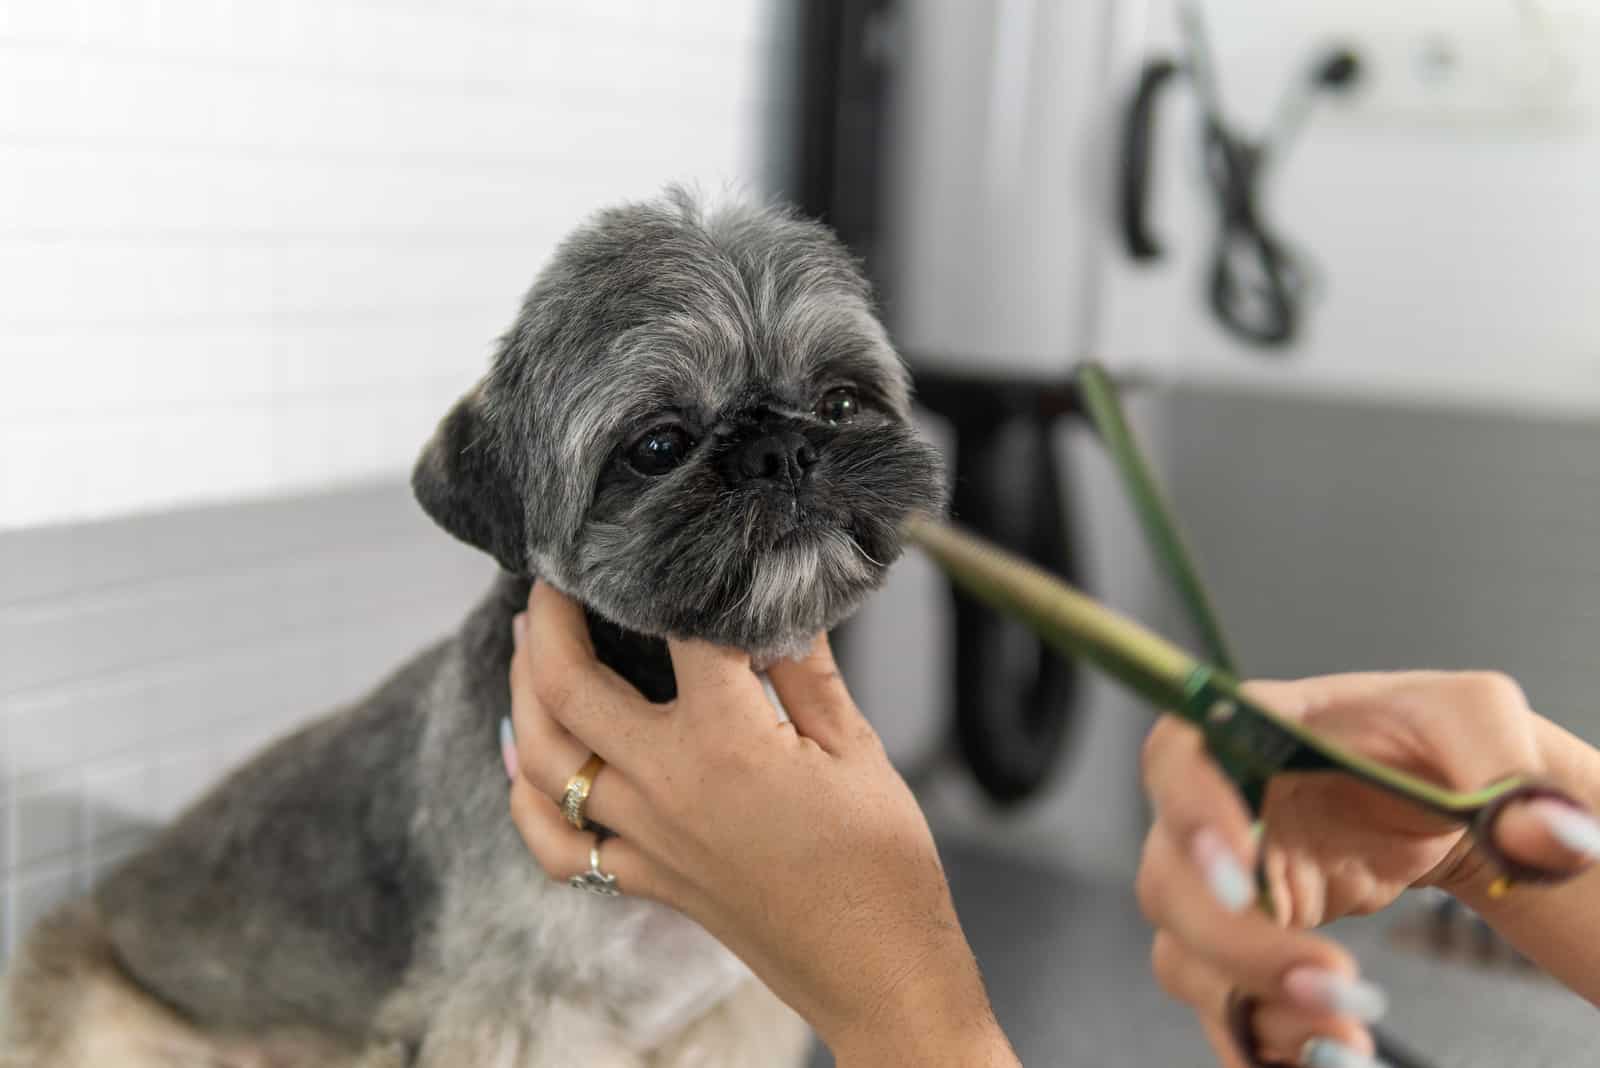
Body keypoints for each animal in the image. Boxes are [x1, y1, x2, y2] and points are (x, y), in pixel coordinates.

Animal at [0, 191, 940, 1068]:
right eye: (659, 445)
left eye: (841, 400)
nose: (784, 452)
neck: (654, 675)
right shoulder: (518, 1018)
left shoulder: (728, 1019)